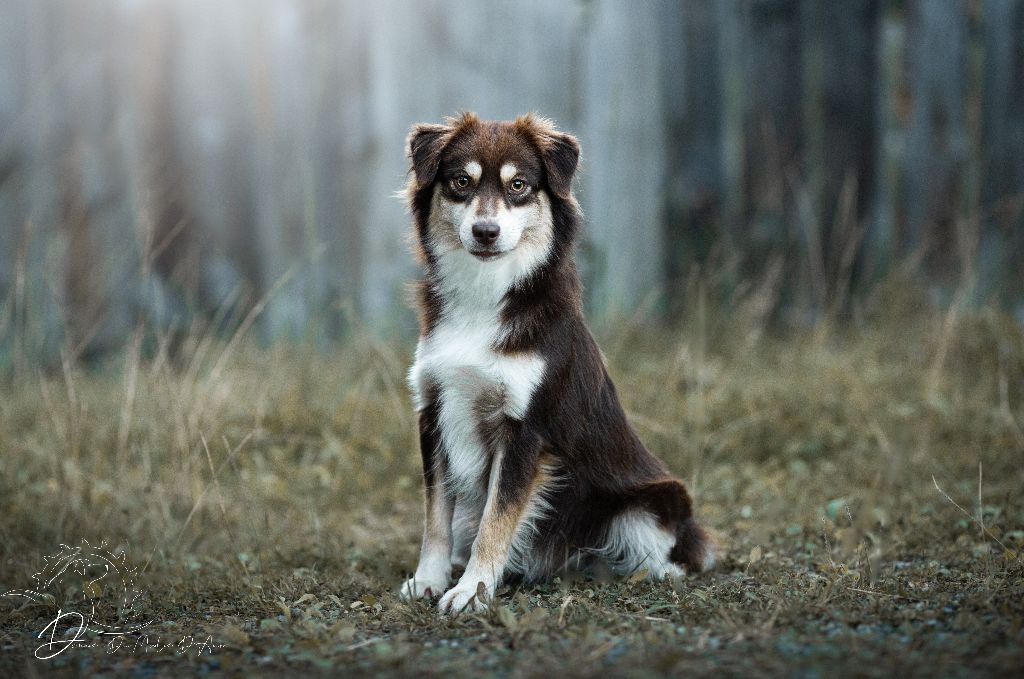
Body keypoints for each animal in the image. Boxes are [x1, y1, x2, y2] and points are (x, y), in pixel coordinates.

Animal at [397, 112, 712, 614]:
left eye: (519, 185)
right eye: (461, 181)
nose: (485, 232)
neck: (486, 294)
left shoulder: (525, 430)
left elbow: (496, 521)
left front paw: (471, 591)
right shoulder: (434, 412)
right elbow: (436, 515)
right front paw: (428, 579)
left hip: (654, 501)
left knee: (669, 552)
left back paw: (652, 572)